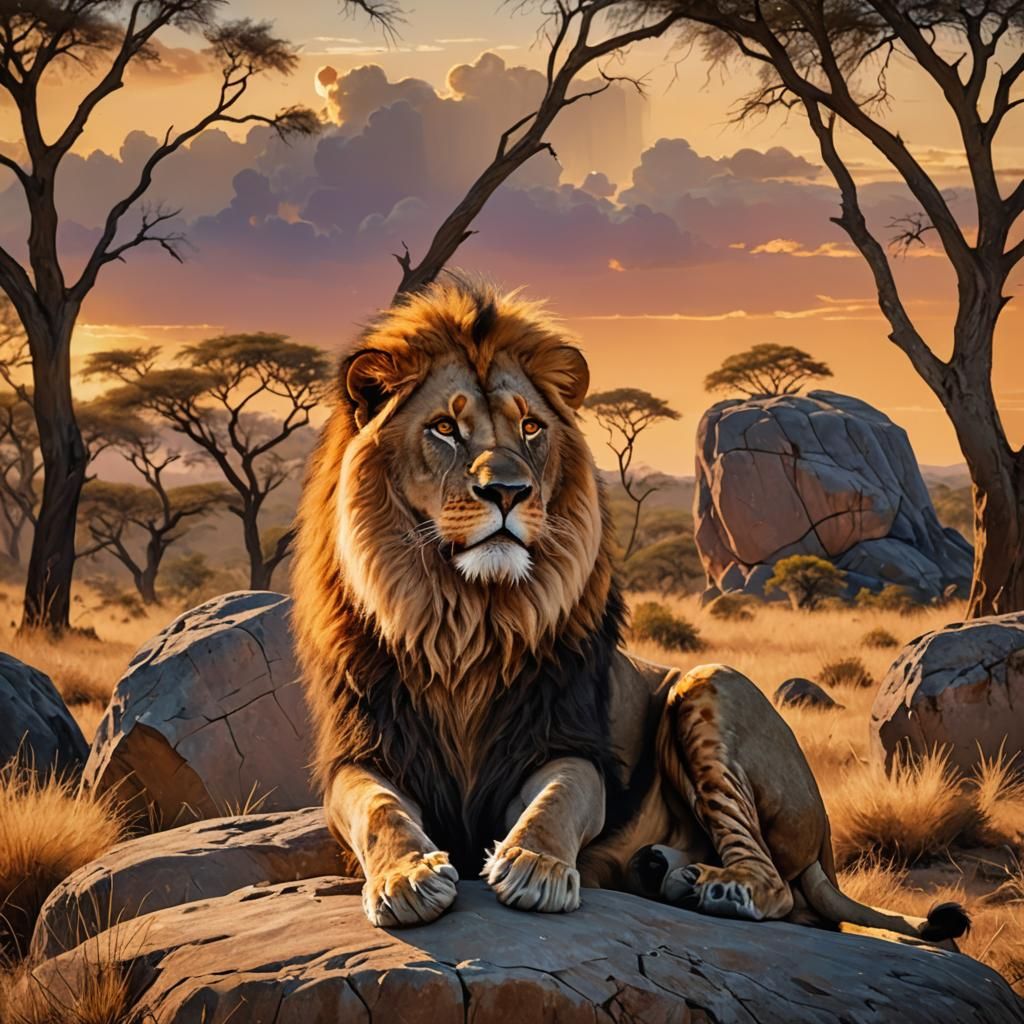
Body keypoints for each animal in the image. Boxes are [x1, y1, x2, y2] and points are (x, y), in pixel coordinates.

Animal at [291, 278, 967, 942]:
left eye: (530, 428)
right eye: (443, 429)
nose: (509, 491)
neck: (467, 620)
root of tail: (825, 844)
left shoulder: (564, 744)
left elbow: (558, 798)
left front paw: (534, 865)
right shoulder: (364, 753)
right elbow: (377, 809)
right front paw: (405, 876)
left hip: (707, 684)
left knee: (779, 888)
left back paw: (711, 885)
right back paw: (663, 871)